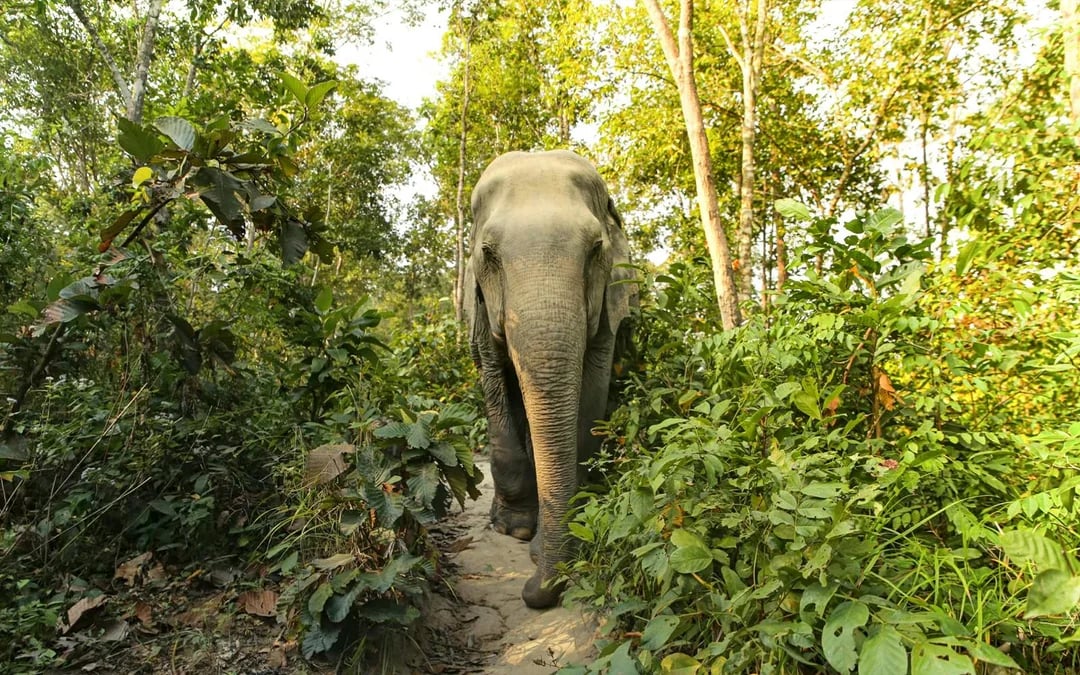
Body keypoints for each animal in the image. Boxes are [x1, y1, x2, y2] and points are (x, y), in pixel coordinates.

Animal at [464, 150, 636, 609]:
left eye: (596, 249)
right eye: (488, 254)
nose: (529, 590)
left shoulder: (610, 302)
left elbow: (590, 398)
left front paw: (548, 545)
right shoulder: (481, 311)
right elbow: (495, 382)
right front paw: (517, 530)